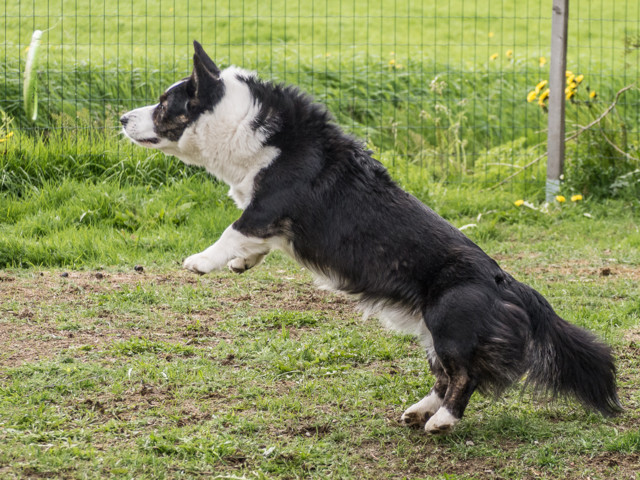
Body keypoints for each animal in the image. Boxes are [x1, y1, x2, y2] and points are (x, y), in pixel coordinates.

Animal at [120, 40, 620, 432]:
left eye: (164, 104)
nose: (123, 117)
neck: (243, 123)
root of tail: (507, 283)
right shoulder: (269, 220)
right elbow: (254, 242)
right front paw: (242, 263)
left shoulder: (267, 206)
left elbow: (233, 229)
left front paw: (202, 261)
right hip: (432, 333)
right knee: (445, 375)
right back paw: (420, 411)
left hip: (448, 321)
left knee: (466, 377)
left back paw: (443, 420)